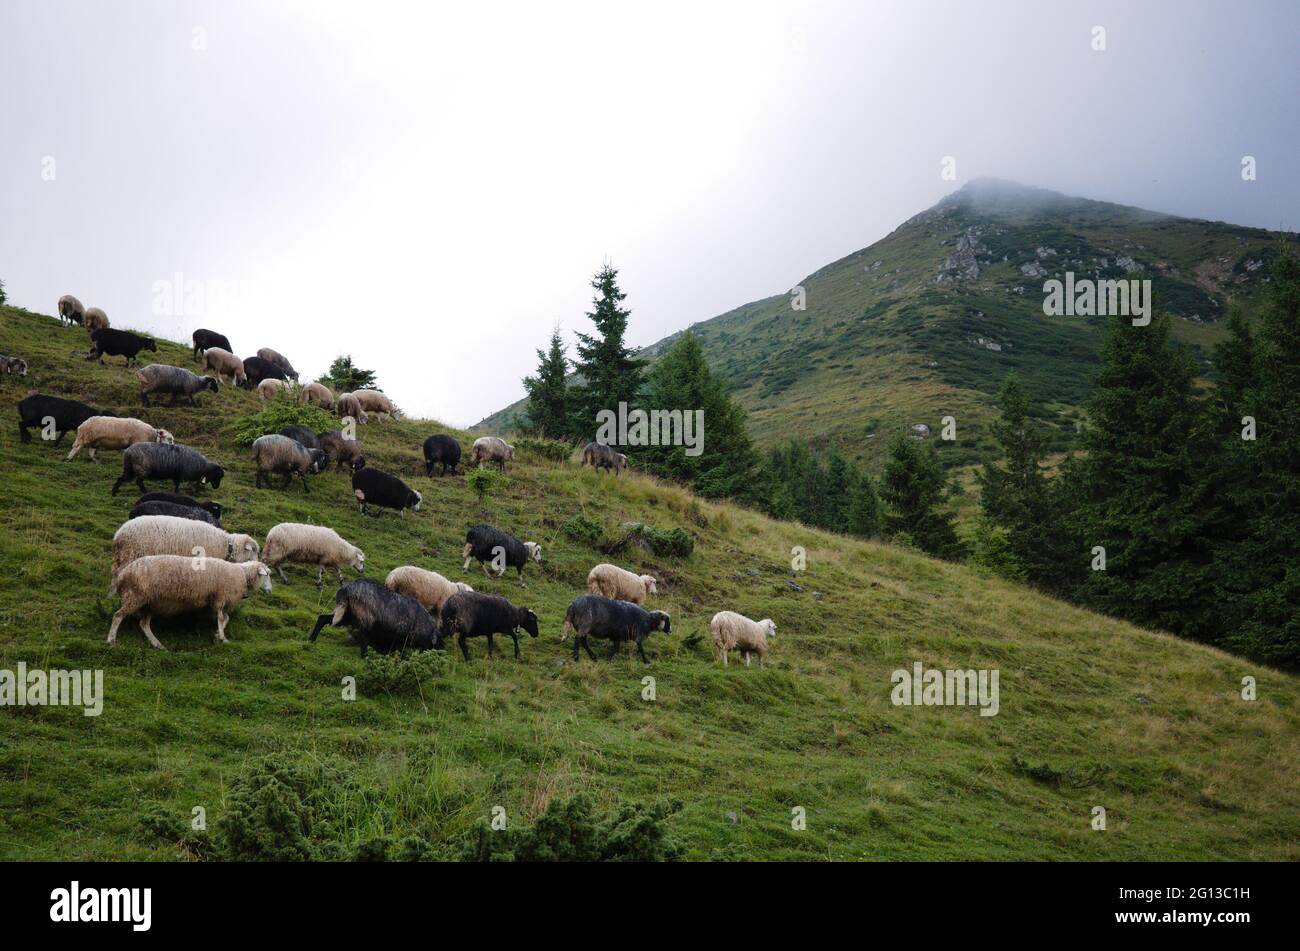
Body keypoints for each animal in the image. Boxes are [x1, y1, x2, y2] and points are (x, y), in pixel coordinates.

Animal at [108, 555, 271, 648]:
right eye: (267, 574)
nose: (270, 590)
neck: (242, 574)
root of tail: (122, 575)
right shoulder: (220, 597)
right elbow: (221, 618)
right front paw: (223, 638)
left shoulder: (216, 599)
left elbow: (226, 618)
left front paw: (217, 635)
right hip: (136, 596)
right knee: (118, 616)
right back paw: (111, 640)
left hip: (150, 603)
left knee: (144, 624)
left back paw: (157, 644)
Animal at [110, 514, 259, 579]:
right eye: (254, 551)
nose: (259, 562)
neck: (226, 545)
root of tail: (119, 535)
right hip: (131, 554)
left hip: (121, 558)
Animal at [308, 579, 442, 658]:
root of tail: (346, 589)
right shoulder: (401, 634)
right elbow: (399, 648)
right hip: (364, 616)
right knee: (362, 634)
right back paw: (365, 655)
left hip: (346, 614)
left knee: (322, 618)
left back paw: (311, 639)